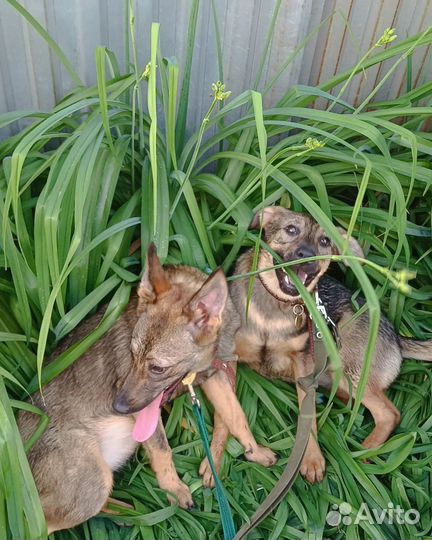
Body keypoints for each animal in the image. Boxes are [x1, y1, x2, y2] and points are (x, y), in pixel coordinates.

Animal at [18, 247, 276, 532]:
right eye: (132, 355)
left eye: (157, 368)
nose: (117, 406)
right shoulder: (147, 412)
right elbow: (162, 449)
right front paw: (175, 491)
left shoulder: (213, 375)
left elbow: (237, 417)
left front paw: (255, 452)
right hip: (91, 486)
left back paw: (129, 512)